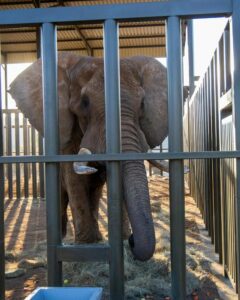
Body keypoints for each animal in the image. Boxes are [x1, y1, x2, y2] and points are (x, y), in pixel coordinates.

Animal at [8, 52, 167, 262]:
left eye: (142, 104)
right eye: (85, 102)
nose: (133, 241)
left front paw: (119, 240)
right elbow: (74, 178)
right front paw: (86, 245)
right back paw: (64, 237)